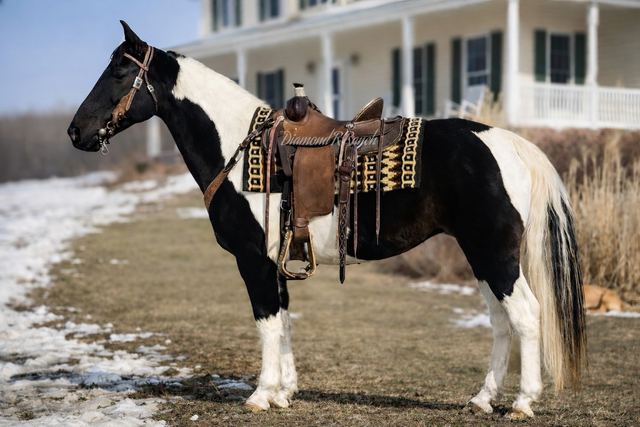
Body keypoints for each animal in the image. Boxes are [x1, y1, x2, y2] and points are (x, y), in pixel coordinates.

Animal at [67, 21, 585, 419]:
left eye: (119, 71)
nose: (76, 132)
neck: (241, 150)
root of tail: (510, 143)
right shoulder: (275, 262)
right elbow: (284, 320)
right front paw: (284, 392)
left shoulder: (253, 261)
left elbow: (266, 321)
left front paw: (261, 395)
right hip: (481, 256)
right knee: (500, 322)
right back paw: (481, 400)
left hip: (494, 255)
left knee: (525, 316)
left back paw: (522, 403)